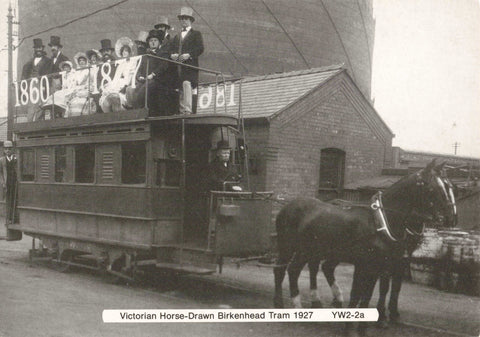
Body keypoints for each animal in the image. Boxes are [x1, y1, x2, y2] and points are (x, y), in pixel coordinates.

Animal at [276, 160, 456, 334]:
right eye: (433, 188)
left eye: (448, 186)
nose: (450, 218)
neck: (380, 222)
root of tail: (288, 205)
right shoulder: (364, 264)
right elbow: (358, 293)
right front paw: (353, 326)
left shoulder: (380, 264)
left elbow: (369, 294)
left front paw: (364, 326)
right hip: (290, 247)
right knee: (284, 270)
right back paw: (286, 306)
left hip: (312, 250)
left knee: (301, 269)